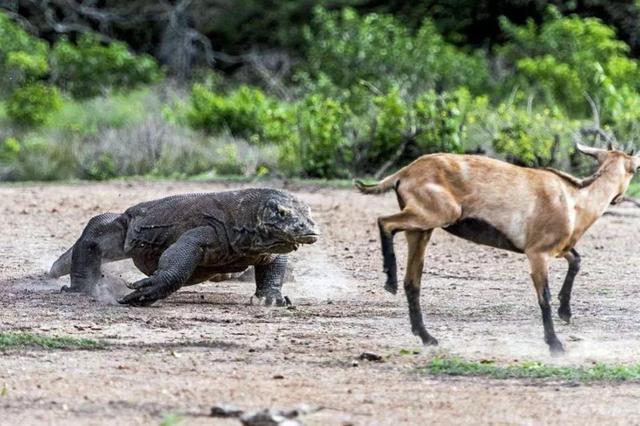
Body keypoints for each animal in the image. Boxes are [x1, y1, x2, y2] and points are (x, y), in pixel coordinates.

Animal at [358, 145, 636, 354]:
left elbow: (576, 260)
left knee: (413, 281)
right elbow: (543, 297)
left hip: (422, 229)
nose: (619, 198)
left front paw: (565, 312)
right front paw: (555, 345)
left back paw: (426, 336)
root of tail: (404, 172)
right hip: (437, 214)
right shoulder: (537, 253)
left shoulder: (557, 248)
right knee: (385, 222)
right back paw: (390, 281)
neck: (574, 200)